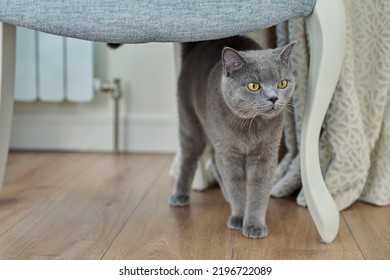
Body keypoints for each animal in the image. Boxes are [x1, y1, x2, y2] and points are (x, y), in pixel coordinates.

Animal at [171, 36, 296, 238]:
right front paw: (239, 217)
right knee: (189, 158)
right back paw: (180, 195)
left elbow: (259, 189)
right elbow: (235, 184)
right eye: (253, 86)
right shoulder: (229, 152)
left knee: (214, 161)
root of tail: (196, 46)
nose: (274, 98)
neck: (251, 127)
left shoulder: (266, 153)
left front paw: (254, 224)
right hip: (190, 120)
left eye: (282, 84)